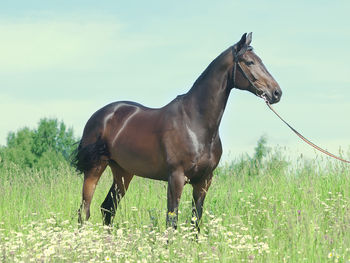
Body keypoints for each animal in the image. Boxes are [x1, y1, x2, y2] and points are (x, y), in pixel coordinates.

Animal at [73, 33, 282, 231]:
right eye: (250, 62)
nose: (277, 93)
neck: (195, 123)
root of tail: (100, 115)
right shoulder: (176, 178)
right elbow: (171, 221)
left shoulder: (204, 181)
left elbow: (195, 222)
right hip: (95, 168)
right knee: (85, 210)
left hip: (123, 172)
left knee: (107, 208)